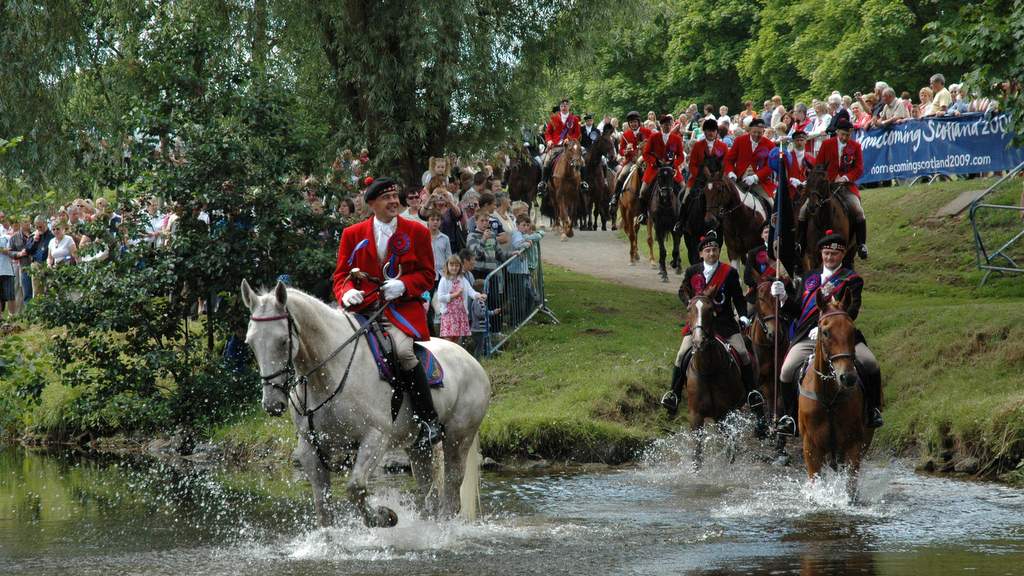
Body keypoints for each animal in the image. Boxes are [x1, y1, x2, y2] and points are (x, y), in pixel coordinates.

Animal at [241, 280, 493, 528]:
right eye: (250, 343)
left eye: (283, 341)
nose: (272, 404)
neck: (327, 374)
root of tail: (471, 360)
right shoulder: (310, 447)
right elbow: (323, 507)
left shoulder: (375, 438)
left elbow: (355, 488)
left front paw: (384, 516)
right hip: (417, 446)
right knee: (427, 489)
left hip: (458, 437)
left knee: (451, 488)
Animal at [684, 286, 749, 467]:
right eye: (689, 309)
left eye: (710, 310)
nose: (698, 341)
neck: (709, 370)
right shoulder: (696, 416)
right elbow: (697, 455)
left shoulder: (728, 413)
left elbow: (730, 450)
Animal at [798, 289, 872, 496]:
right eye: (825, 332)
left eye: (852, 331)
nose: (848, 377)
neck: (828, 397)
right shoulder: (811, 448)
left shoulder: (853, 446)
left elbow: (850, 488)